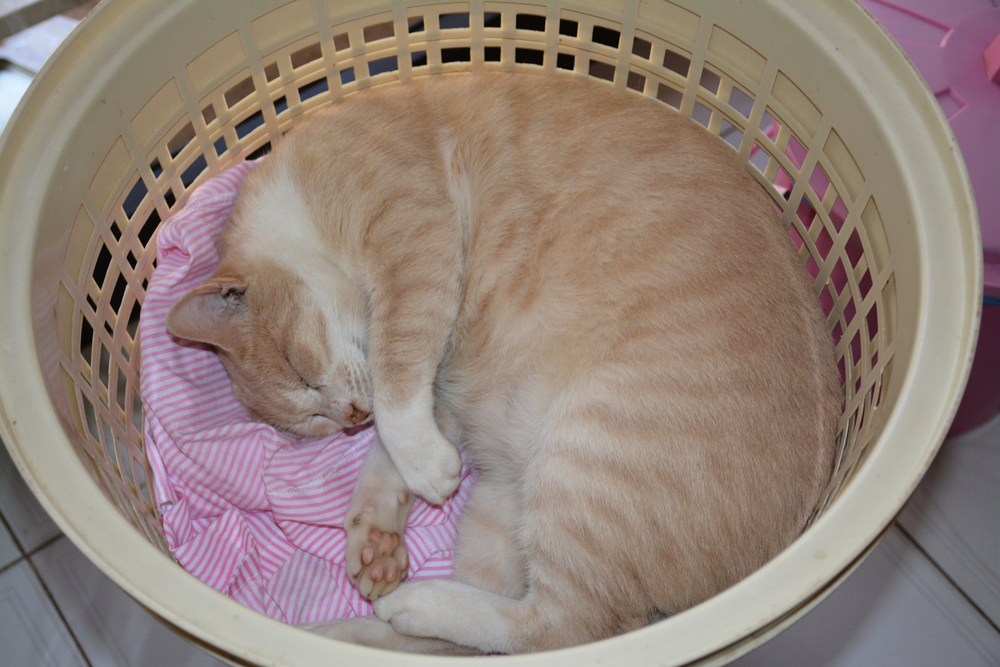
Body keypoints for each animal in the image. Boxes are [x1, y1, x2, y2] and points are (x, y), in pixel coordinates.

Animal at [168, 72, 840, 652]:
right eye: (313, 425)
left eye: (301, 369)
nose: (350, 418)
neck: (297, 200)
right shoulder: (441, 390)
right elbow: (389, 448)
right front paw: (375, 538)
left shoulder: (416, 248)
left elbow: (396, 383)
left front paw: (422, 468)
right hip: (502, 510)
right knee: (476, 641)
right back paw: (343, 632)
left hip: (586, 461)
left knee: (563, 628)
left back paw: (414, 604)